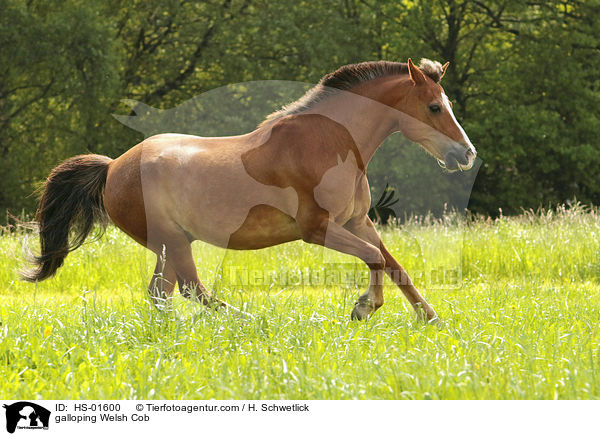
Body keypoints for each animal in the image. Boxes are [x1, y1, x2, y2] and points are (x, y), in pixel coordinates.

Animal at [23, 58, 476, 320]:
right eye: (434, 107)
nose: (467, 154)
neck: (330, 142)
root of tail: (114, 167)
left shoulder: (357, 221)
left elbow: (394, 265)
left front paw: (431, 319)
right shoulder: (318, 229)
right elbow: (375, 259)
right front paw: (363, 308)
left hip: (168, 245)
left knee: (161, 294)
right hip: (173, 241)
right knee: (191, 289)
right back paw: (249, 320)